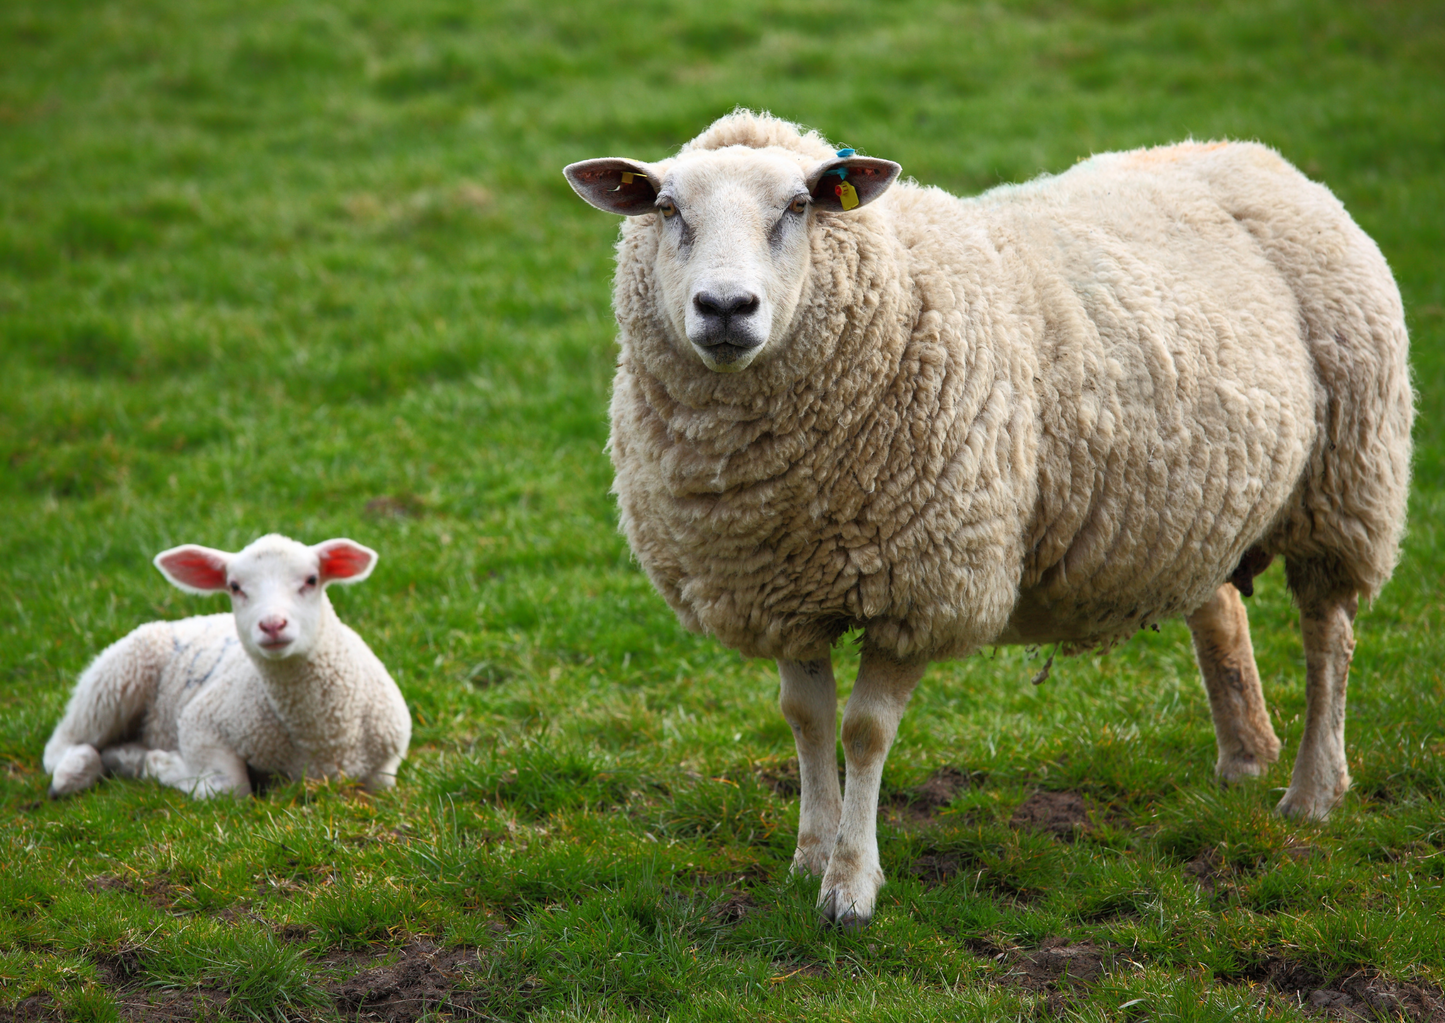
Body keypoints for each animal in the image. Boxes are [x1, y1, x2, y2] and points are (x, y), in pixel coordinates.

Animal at [44, 534, 411, 800]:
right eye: (235, 586)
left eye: (311, 579)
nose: (272, 624)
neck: (324, 737)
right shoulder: (201, 722)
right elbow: (230, 788)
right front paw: (165, 765)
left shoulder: (386, 766)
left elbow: (382, 785)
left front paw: (151, 762)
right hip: (113, 679)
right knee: (62, 743)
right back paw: (76, 770)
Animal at [563, 111, 1413, 928]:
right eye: (666, 209)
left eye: (798, 207)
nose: (725, 308)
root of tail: (1254, 154)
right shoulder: (781, 586)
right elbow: (804, 718)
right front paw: (810, 854)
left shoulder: (921, 586)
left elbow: (863, 731)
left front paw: (850, 887)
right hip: (1193, 502)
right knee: (1220, 610)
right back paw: (1244, 757)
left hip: (1344, 483)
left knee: (1328, 637)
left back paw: (1310, 792)